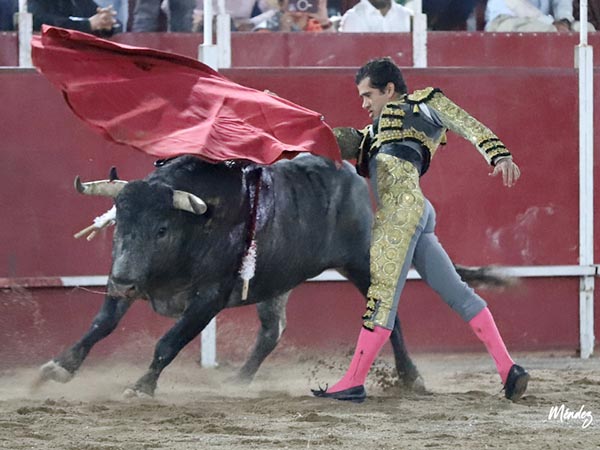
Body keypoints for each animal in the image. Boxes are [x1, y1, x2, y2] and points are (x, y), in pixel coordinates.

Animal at [36, 155, 496, 398]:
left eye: (162, 228)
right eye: (119, 222)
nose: (124, 281)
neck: (196, 225)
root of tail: (347, 171)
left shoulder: (208, 299)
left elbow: (168, 342)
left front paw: (141, 387)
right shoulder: (128, 276)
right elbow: (101, 324)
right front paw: (58, 368)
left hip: (364, 264)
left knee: (389, 318)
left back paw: (410, 377)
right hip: (276, 282)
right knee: (272, 331)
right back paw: (239, 380)